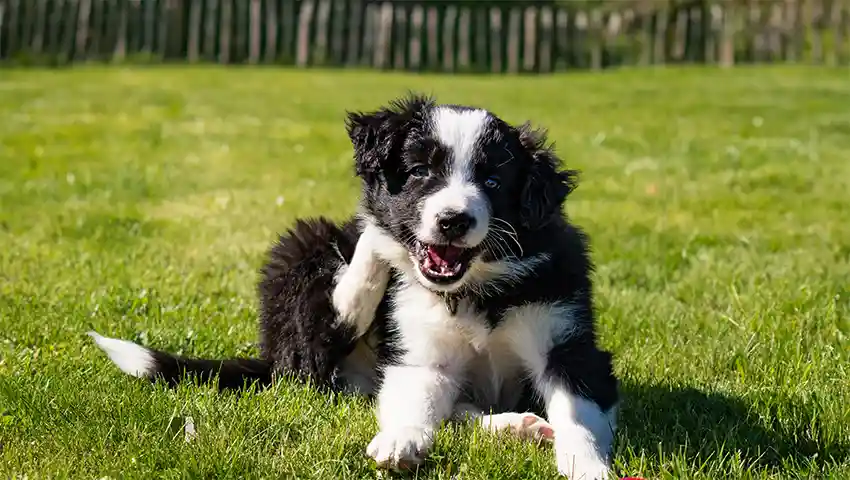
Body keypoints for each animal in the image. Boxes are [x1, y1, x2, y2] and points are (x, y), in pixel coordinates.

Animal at [88, 94, 616, 480]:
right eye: (420, 172)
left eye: (492, 181)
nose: (453, 220)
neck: (474, 288)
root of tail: (271, 357)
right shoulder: (420, 352)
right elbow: (415, 398)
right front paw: (403, 439)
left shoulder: (567, 342)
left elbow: (578, 414)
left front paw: (588, 467)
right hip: (302, 250)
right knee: (327, 336)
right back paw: (374, 245)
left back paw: (517, 425)